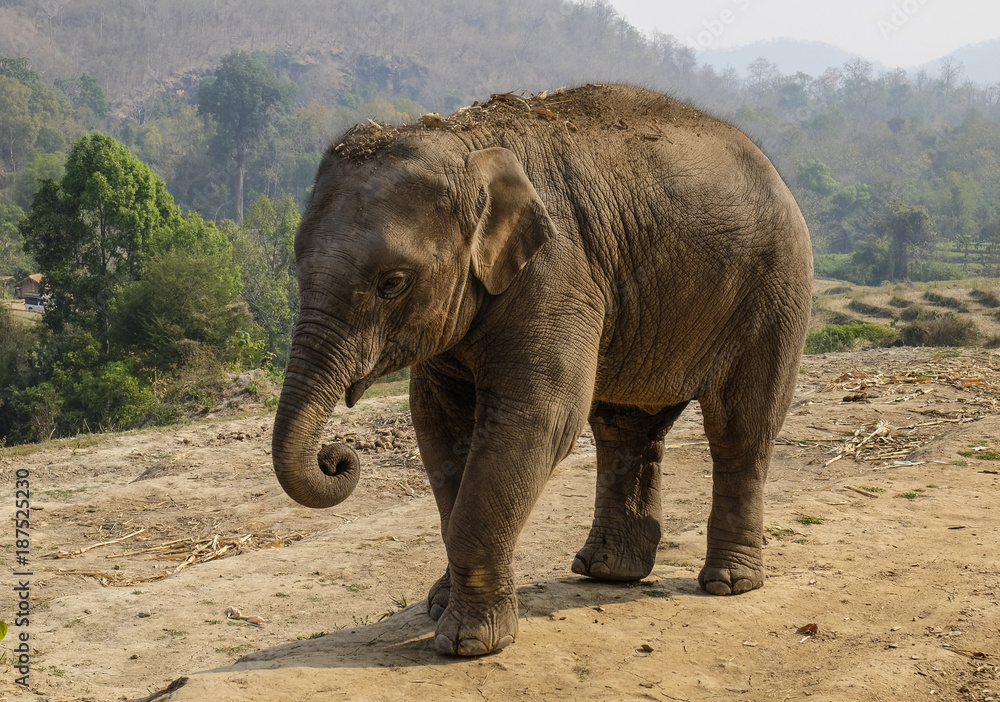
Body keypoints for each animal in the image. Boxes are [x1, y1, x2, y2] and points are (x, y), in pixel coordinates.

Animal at [272, 84, 813, 657]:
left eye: (392, 283)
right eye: (299, 269)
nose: (336, 456)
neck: (466, 141)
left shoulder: (558, 271)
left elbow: (538, 418)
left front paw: (468, 643)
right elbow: (438, 424)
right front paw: (440, 605)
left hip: (774, 291)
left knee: (740, 428)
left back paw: (729, 584)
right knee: (626, 427)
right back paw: (608, 572)